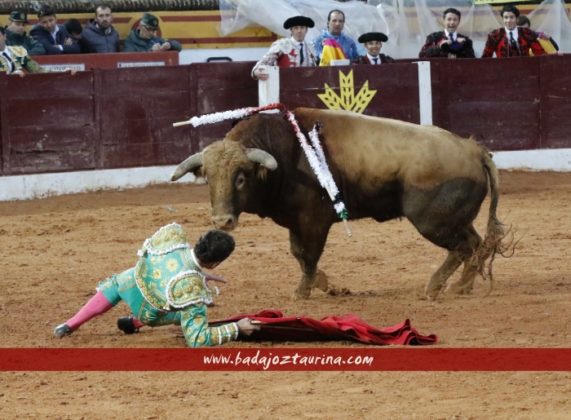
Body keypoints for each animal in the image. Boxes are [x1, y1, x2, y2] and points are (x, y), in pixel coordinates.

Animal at [172, 108, 508, 298]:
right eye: (207, 178)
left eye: (241, 178)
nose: (222, 221)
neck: (285, 154)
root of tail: (473, 149)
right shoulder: (296, 222)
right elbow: (299, 254)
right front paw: (324, 284)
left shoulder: (313, 222)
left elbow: (307, 255)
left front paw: (302, 292)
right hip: (455, 219)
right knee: (476, 243)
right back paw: (462, 286)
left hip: (432, 221)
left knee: (463, 247)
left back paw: (436, 287)